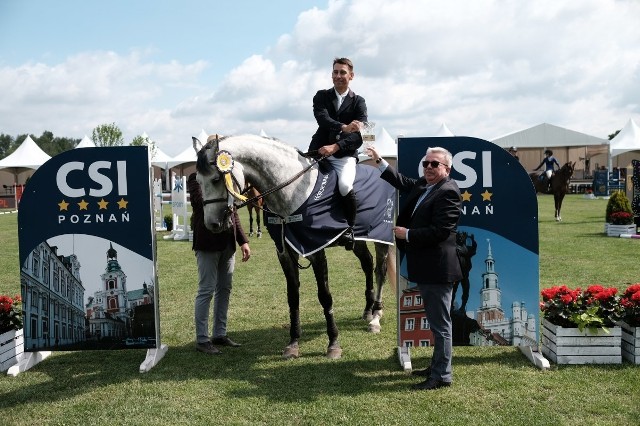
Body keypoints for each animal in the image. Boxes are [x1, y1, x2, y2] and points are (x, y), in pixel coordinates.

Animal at [192, 134, 390, 360]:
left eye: (216, 179)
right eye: (198, 181)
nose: (212, 225)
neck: (292, 191)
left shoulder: (316, 251)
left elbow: (325, 297)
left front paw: (333, 344)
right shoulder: (285, 253)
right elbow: (292, 297)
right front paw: (293, 343)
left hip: (383, 238)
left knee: (380, 271)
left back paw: (376, 317)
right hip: (358, 240)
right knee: (367, 263)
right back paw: (367, 310)